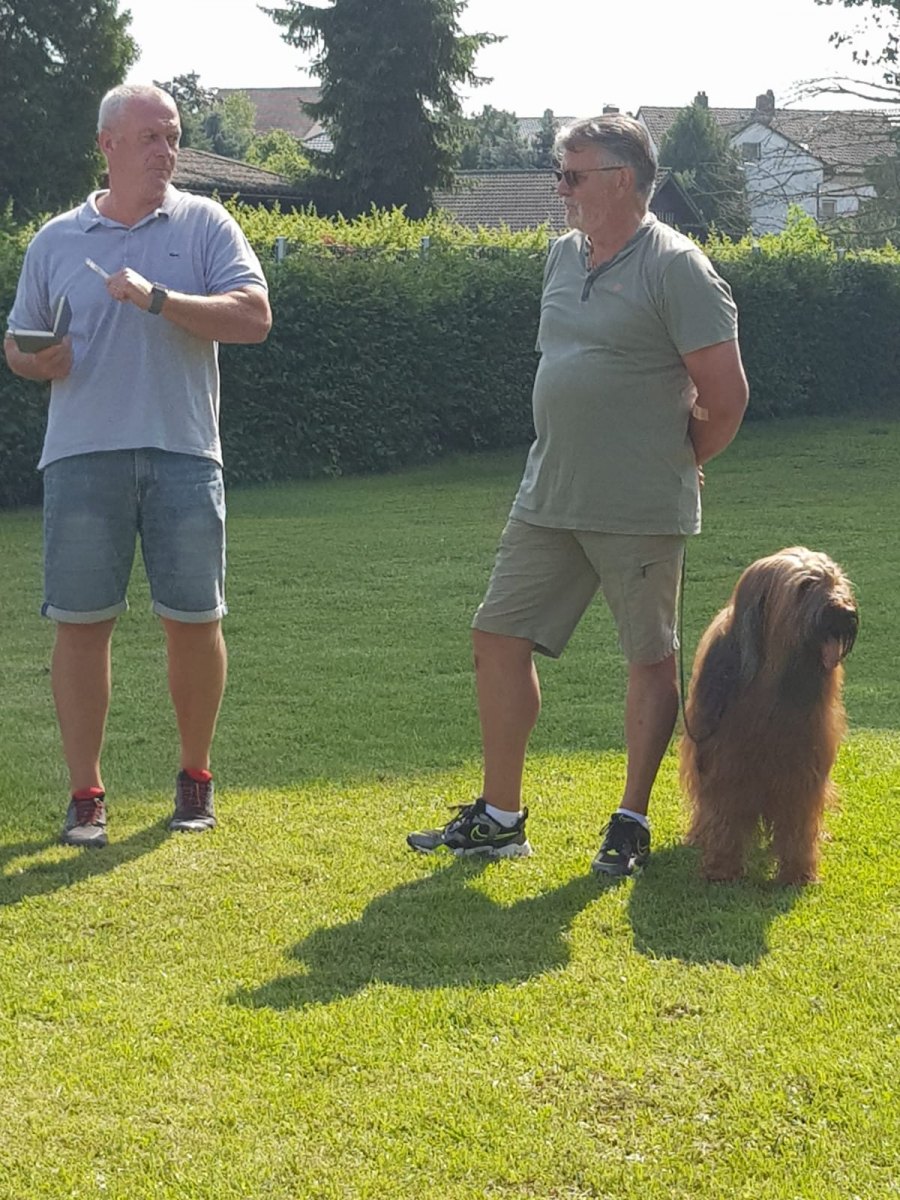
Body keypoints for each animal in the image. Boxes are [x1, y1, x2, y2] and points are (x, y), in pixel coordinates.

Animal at [679, 547, 858, 885]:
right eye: (805, 587)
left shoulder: (803, 769)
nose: (845, 612)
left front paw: (798, 872)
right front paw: (722, 868)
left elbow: (799, 822)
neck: (773, 682)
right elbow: (723, 813)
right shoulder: (726, 763)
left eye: (837, 582)